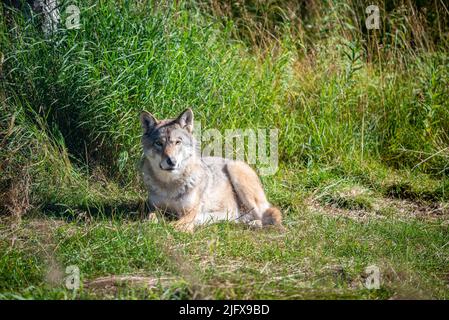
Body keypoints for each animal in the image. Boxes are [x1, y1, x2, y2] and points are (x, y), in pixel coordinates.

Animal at [138, 109, 282, 231]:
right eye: (159, 143)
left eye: (178, 142)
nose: (171, 161)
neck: (169, 186)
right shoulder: (154, 208)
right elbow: (150, 218)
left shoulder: (189, 212)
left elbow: (175, 225)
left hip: (235, 171)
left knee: (270, 216)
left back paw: (256, 223)